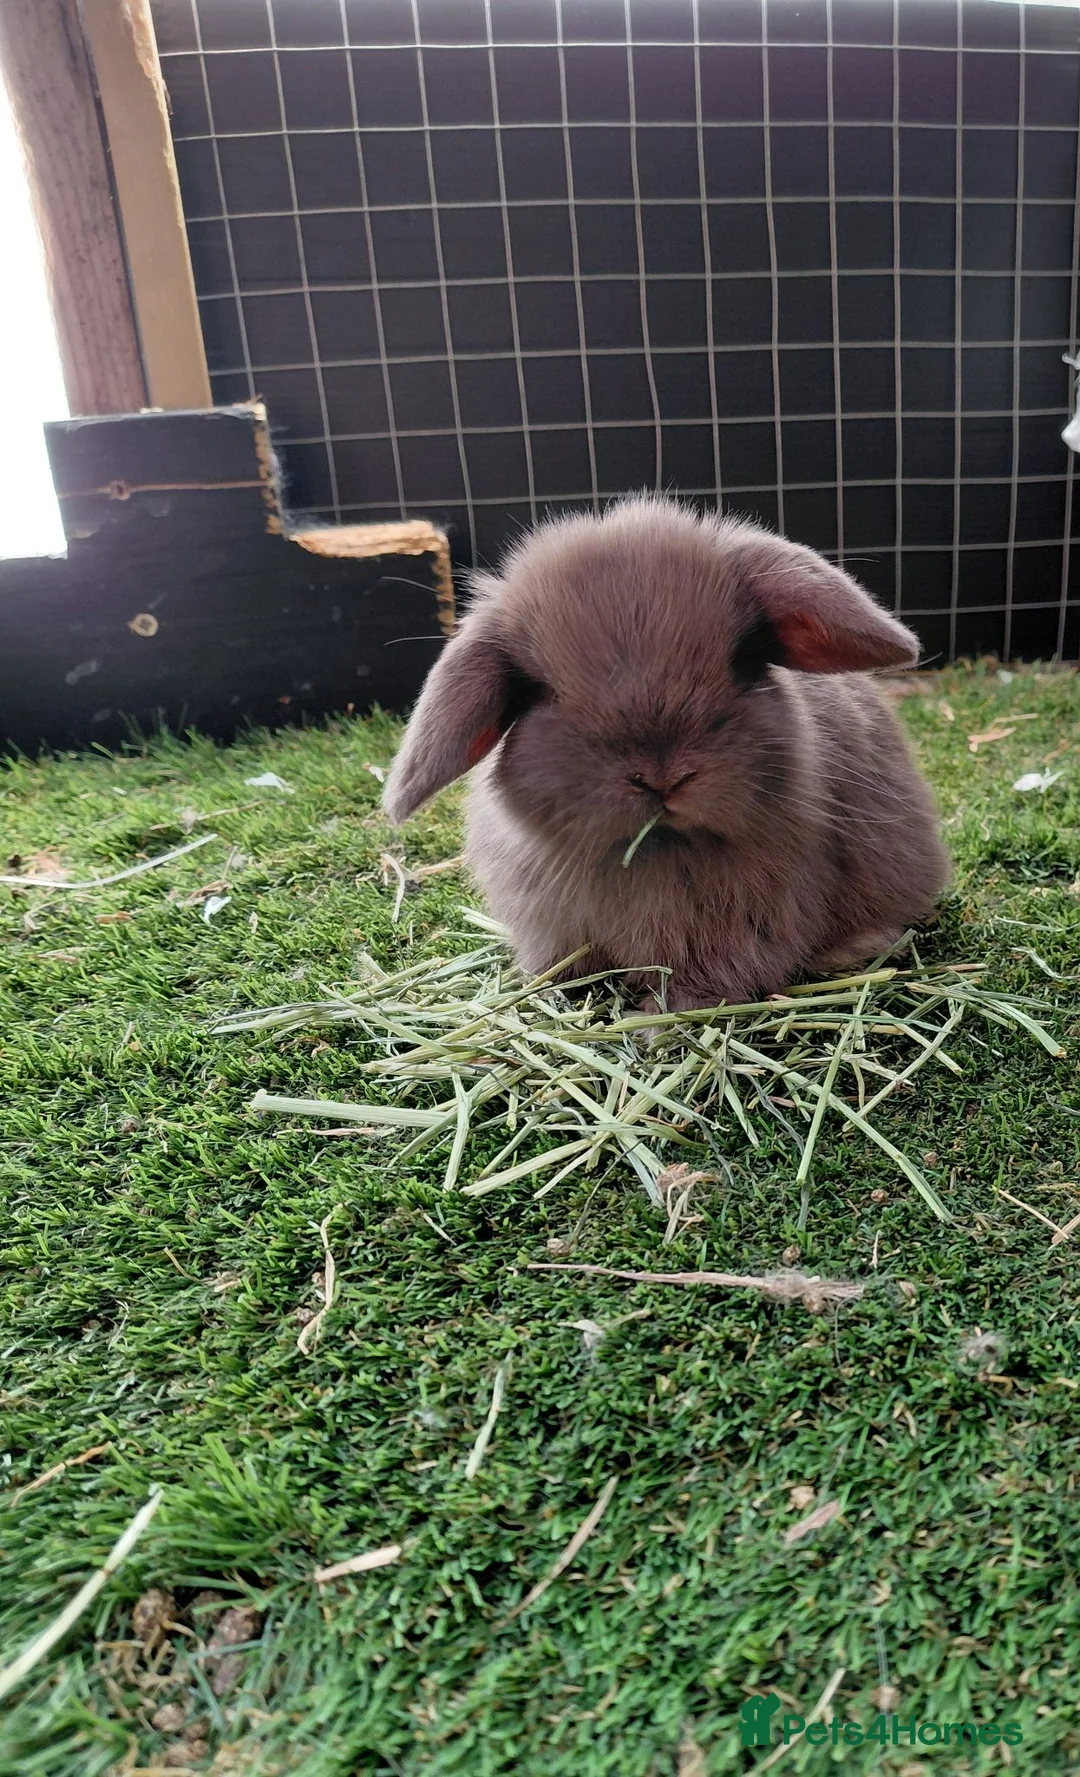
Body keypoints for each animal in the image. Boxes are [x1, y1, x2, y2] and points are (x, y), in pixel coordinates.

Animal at [383, 496, 949, 1011]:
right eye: (536, 691)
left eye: (744, 657)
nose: (663, 778)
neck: (653, 850)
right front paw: (551, 993)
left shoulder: (742, 927)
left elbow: (702, 983)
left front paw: (656, 1024)